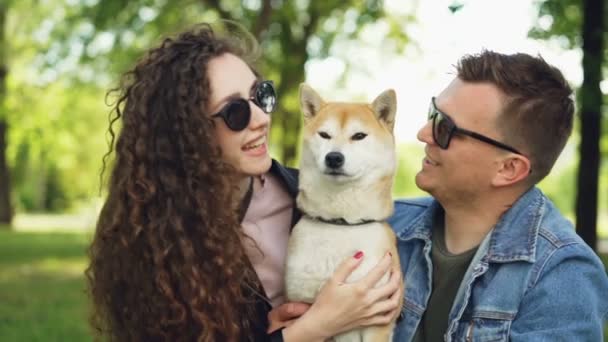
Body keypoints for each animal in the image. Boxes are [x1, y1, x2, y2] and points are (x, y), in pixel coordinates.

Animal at [286, 83, 404, 342]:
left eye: (359, 136)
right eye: (324, 135)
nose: (334, 157)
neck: (341, 223)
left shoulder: (378, 321)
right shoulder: (299, 307)